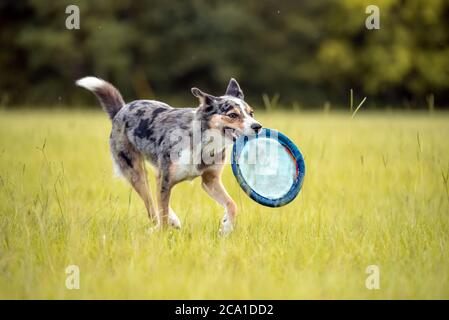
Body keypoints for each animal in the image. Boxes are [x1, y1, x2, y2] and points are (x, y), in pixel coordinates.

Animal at [75, 76, 260, 234]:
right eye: (232, 115)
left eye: (251, 113)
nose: (258, 126)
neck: (202, 141)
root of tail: (121, 110)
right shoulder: (166, 179)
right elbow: (162, 211)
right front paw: (163, 235)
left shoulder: (210, 180)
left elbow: (232, 204)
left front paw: (226, 227)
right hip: (135, 172)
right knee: (151, 207)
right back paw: (159, 225)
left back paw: (173, 220)